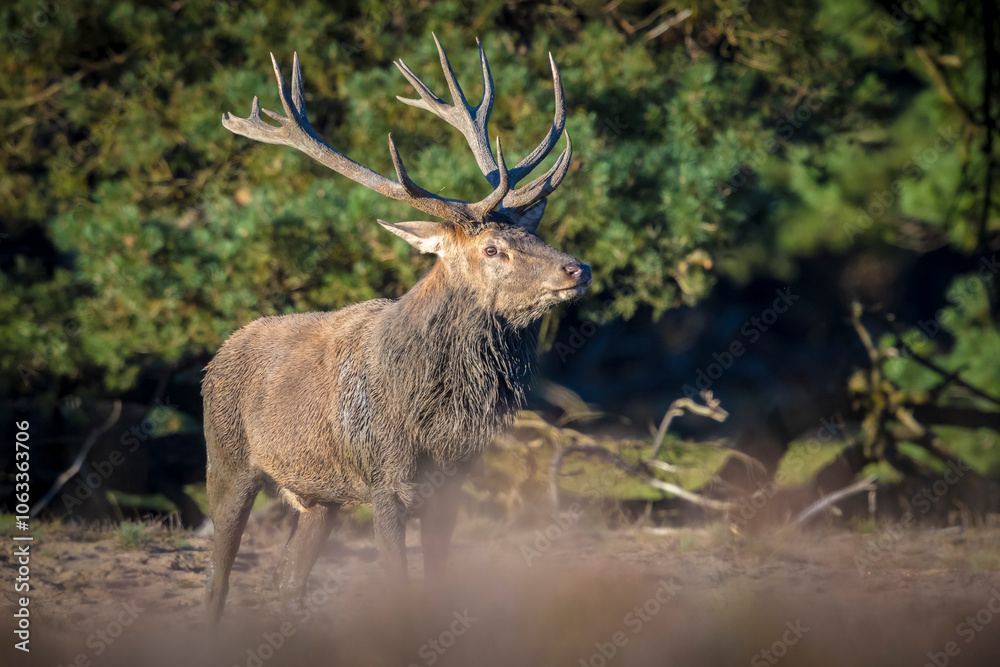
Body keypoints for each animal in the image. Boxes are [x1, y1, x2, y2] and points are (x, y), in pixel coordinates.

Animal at [203, 36, 590, 622]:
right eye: (492, 248)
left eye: (534, 234)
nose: (577, 269)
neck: (433, 416)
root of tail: (218, 353)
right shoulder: (384, 482)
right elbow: (399, 587)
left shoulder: (450, 486)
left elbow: (438, 585)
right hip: (227, 460)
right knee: (217, 580)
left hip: (321, 498)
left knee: (288, 578)